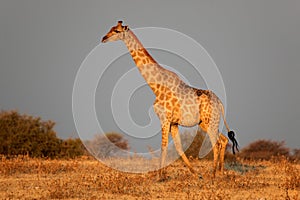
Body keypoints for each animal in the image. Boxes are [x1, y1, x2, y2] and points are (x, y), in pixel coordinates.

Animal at [102, 21, 238, 179]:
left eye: (117, 31)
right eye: (110, 29)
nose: (103, 38)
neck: (156, 87)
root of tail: (220, 103)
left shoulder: (164, 119)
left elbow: (163, 146)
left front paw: (159, 176)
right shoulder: (174, 123)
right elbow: (178, 147)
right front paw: (194, 173)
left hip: (211, 121)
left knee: (216, 143)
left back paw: (213, 174)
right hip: (205, 122)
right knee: (223, 140)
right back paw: (220, 172)